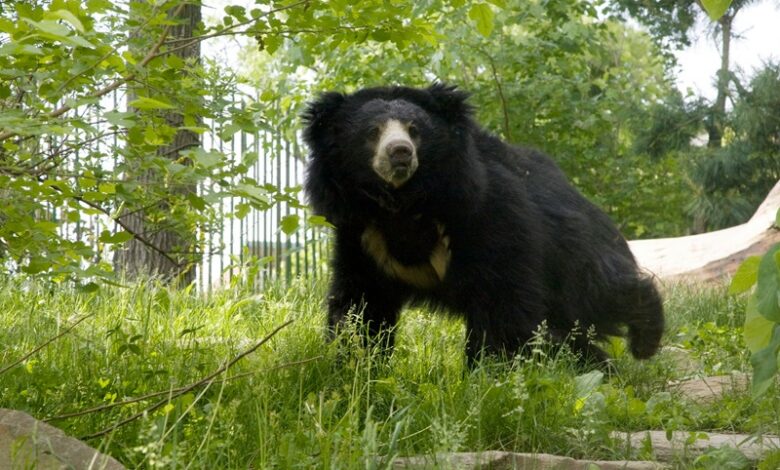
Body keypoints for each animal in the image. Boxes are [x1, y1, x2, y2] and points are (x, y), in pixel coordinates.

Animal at [302, 83, 664, 365]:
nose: (400, 153)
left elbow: (501, 300)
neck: (404, 204)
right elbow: (362, 305)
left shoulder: (489, 213)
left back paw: (644, 338)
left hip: (571, 251)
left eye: (414, 129)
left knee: (597, 294)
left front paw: (487, 373)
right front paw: (356, 363)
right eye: (372, 132)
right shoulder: (362, 235)